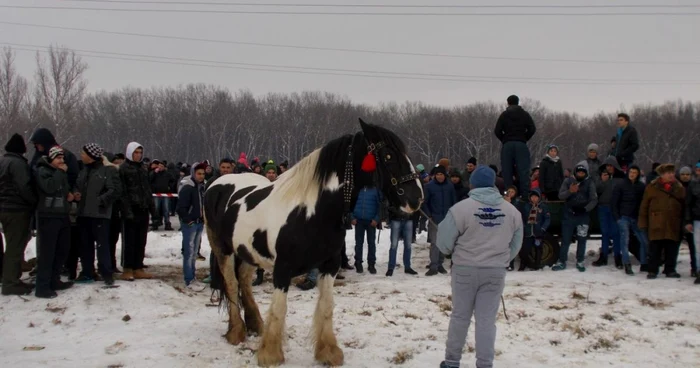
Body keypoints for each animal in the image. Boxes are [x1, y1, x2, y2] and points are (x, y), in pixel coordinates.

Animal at [202, 119, 422, 366]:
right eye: (388, 155)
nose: (416, 198)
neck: (311, 211)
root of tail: (217, 183)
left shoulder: (330, 266)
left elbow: (326, 306)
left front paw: (328, 352)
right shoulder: (282, 269)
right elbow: (279, 309)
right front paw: (270, 354)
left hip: (248, 252)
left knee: (244, 282)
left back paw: (256, 325)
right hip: (223, 249)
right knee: (231, 283)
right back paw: (236, 332)